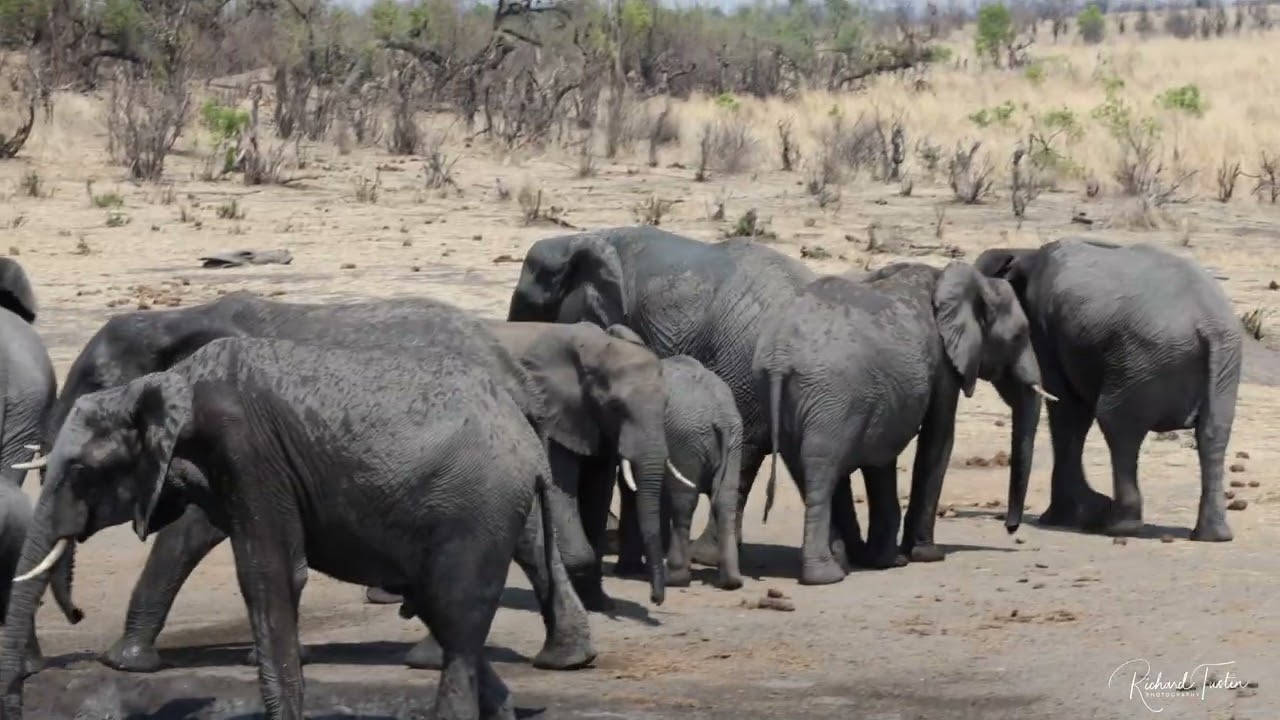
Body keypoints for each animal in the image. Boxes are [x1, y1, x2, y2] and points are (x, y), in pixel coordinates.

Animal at [0, 337, 591, 720]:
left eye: (82, 471)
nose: (78, 615)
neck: (166, 382)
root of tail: (530, 443)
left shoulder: (248, 451)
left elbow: (269, 575)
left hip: (476, 512)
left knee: (458, 620)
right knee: (448, 615)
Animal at [604, 323, 744, 591]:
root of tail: (719, 416)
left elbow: (631, 487)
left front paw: (628, 569)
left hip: (686, 438)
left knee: (684, 503)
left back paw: (675, 578)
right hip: (734, 439)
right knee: (726, 499)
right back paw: (730, 581)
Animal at [752, 261, 1052, 585]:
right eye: (1020, 335)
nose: (1010, 528)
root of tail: (781, 357)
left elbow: (884, 459)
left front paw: (889, 559)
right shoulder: (942, 361)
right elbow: (939, 437)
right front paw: (927, 555)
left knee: (808, 470)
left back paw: (844, 563)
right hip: (830, 397)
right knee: (822, 471)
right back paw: (827, 575)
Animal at [973, 238, 1243, 540]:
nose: (1010, 528)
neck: (1022, 254)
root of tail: (1209, 326)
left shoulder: (1044, 327)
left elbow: (1068, 409)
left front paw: (1061, 518)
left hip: (1141, 359)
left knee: (1117, 425)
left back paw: (1118, 525)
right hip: (1223, 366)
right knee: (1213, 433)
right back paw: (1213, 535)